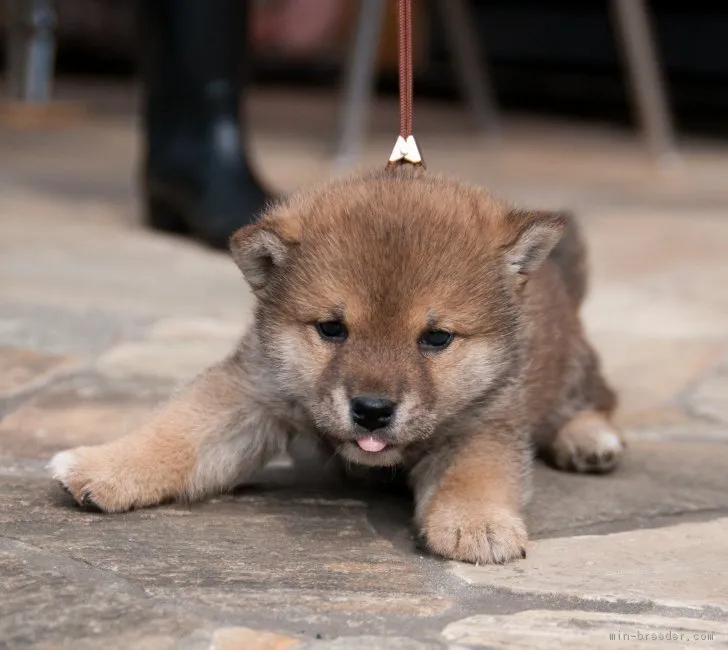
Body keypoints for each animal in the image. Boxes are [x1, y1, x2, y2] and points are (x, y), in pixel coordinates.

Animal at [51, 166, 624, 560]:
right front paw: (104, 465)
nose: (371, 410)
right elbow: (178, 432)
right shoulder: (253, 391)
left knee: (597, 400)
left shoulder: (485, 422)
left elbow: (474, 475)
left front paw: (477, 524)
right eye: (331, 328)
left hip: (572, 373)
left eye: (436, 337)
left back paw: (589, 440)